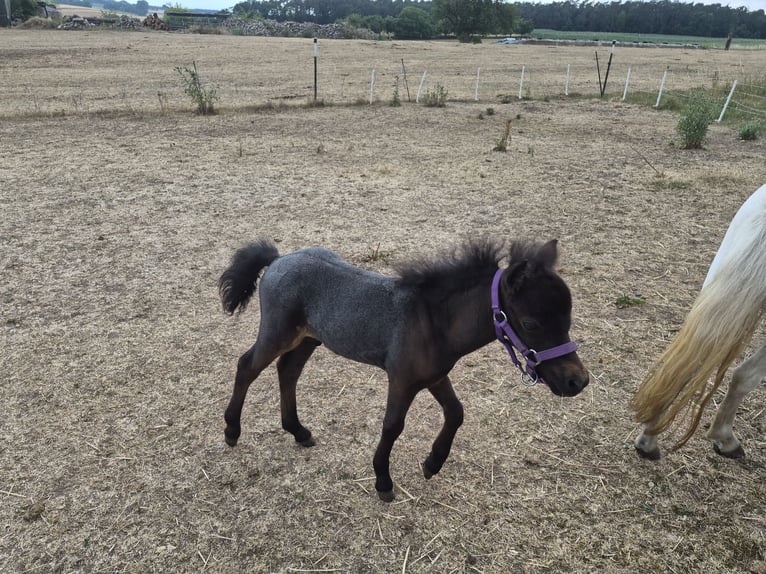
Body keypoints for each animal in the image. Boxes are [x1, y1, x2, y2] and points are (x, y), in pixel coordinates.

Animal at [218, 238, 589, 501]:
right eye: (530, 323)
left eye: (568, 317)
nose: (577, 381)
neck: (433, 323)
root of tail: (278, 258)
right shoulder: (402, 379)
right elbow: (393, 425)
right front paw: (383, 480)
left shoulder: (435, 376)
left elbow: (456, 413)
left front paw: (432, 464)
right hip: (278, 333)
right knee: (247, 367)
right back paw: (232, 431)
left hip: (310, 338)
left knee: (288, 371)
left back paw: (298, 431)